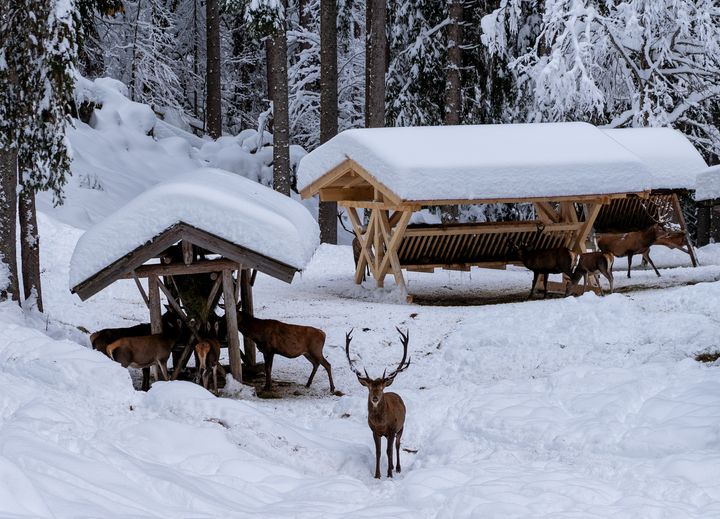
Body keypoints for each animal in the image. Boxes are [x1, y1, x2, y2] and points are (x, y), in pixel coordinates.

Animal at [348, 330, 414, 480]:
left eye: (382, 388)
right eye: (369, 388)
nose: (375, 398)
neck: (381, 423)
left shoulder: (392, 429)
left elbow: (389, 451)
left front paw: (389, 474)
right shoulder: (374, 430)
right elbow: (378, 452)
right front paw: (377, 474)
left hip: (401, 427)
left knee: (396, 446)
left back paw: (397, 467)